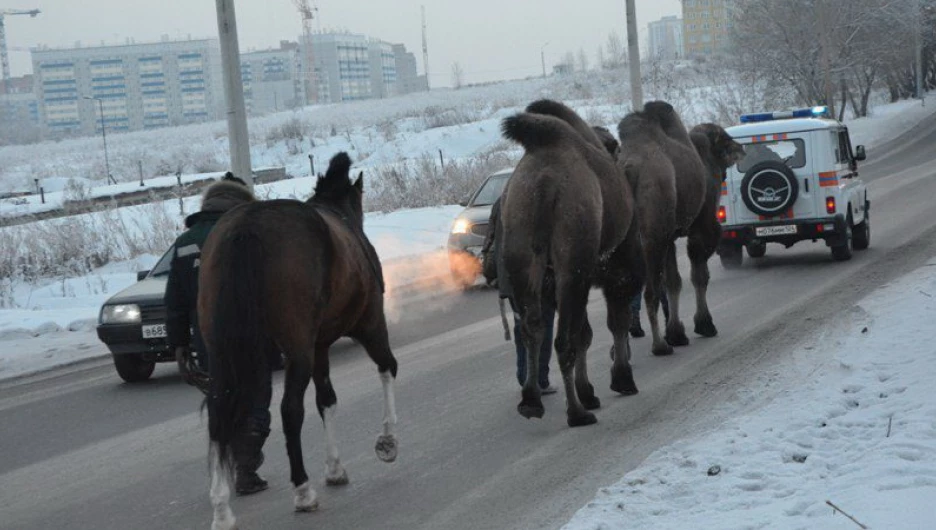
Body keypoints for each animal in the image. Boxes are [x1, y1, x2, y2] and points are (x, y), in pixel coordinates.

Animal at [199, 151, 396, 524]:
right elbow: (387, 367)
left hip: (222, 351)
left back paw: (221, 509)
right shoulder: (370, 324)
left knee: (217, 414)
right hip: (297, 348)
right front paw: (387, 441)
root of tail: (248, 227)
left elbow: (327, 400)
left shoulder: (319, 346)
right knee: (290, 410)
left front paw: (335, 468)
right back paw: (303, 491)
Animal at [500, 99, 648, 426]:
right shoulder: (620, 269)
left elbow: (585, 333)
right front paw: (622, 380)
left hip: (523, 254)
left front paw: (589, 391)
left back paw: (531, 401)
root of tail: (543, 182)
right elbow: (615, 323)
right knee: (563, 340)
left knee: (533, 328)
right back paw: (577, 413)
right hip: (574, 259)